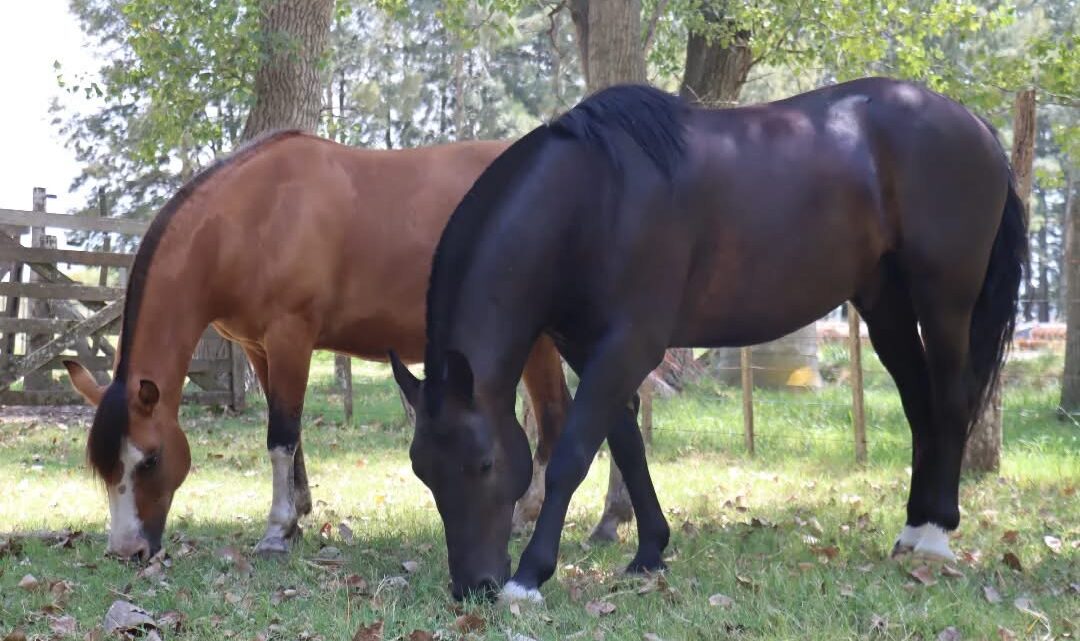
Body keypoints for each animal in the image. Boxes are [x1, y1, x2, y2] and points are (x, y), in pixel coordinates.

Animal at [60, 131, 578, 563]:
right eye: (102, 469)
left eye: (149, 459)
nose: (127, 552)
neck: (250, 218)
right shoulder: (259, 347)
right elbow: (289, 434)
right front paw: (299, 513)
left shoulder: (291, 335)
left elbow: (281, 436)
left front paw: (277, 531)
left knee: (555, 416)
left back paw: (525, 515)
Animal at [390, 78, 1026, 601]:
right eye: (423, 471)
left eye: (483, 463)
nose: (474, 587)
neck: (595, 198)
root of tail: (974, 125)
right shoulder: (588, 346)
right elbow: (626, 442)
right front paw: (649, 553)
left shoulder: (628, 345)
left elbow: (574, 452)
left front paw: (530, 577)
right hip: (885, 303)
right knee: (920, 406)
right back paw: (913, 528)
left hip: (945, 301)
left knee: (951, 403)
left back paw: (937, 537)